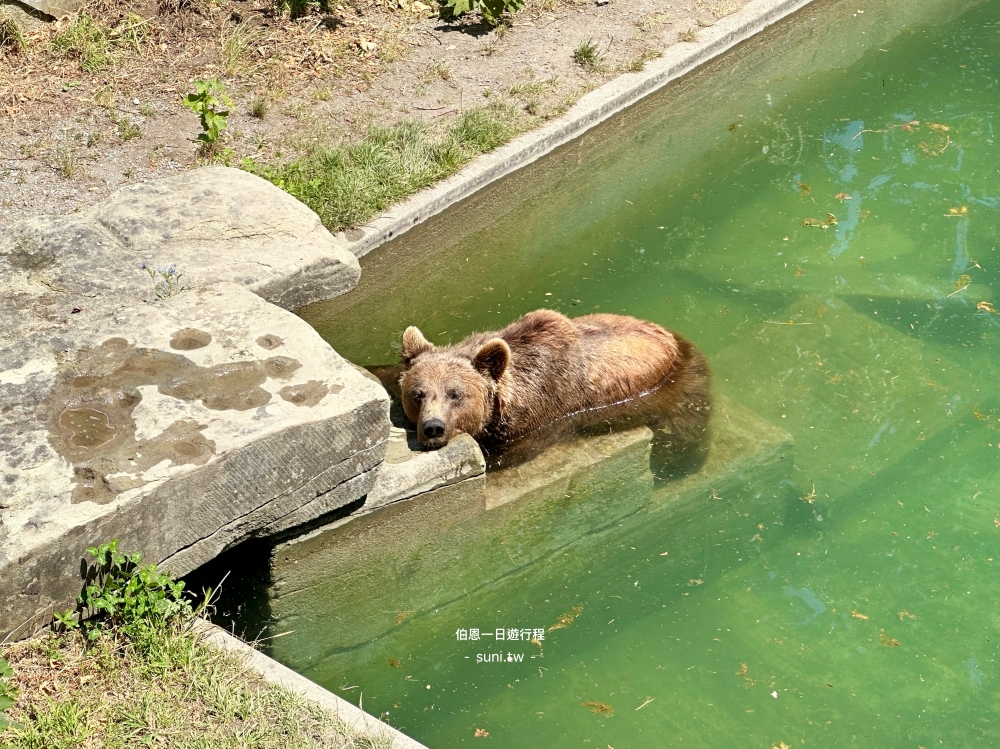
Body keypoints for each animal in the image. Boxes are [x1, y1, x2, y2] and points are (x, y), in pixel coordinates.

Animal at [399, 309, 711, 475]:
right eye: (418, 393)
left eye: (455, 394)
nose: (433, 427)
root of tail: (673, 336)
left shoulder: (536, 422)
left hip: (681, 388)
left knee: (683, 436)